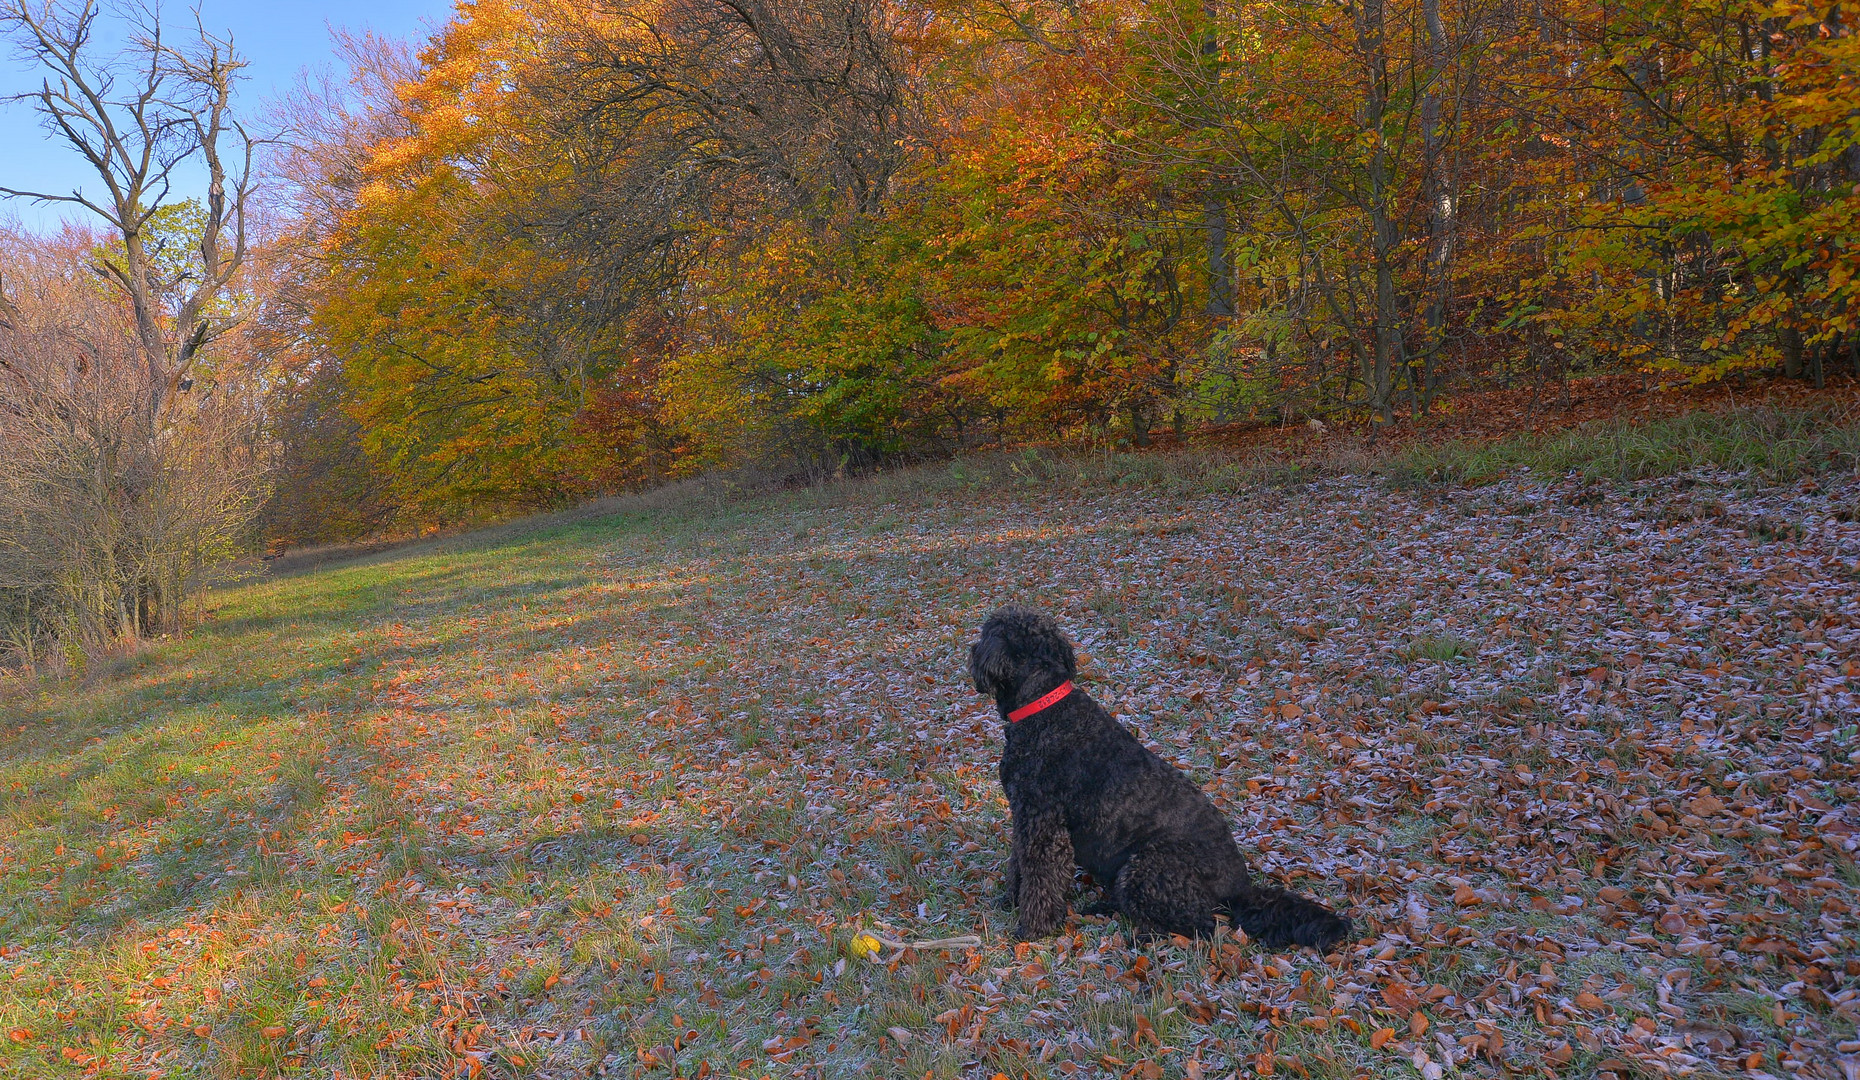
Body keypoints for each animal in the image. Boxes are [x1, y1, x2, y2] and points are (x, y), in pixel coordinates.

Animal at [974, 602, 1354, 948]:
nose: (973, 652)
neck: (1044, 708)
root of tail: (1240, 888)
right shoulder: (1026, 819)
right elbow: (1018, 865)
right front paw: (1011, 901)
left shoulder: (1043, 828)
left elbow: (1038, 877)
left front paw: (1032, 929)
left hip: (1144, 866)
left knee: (1202, 925)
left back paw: (1142, 937)